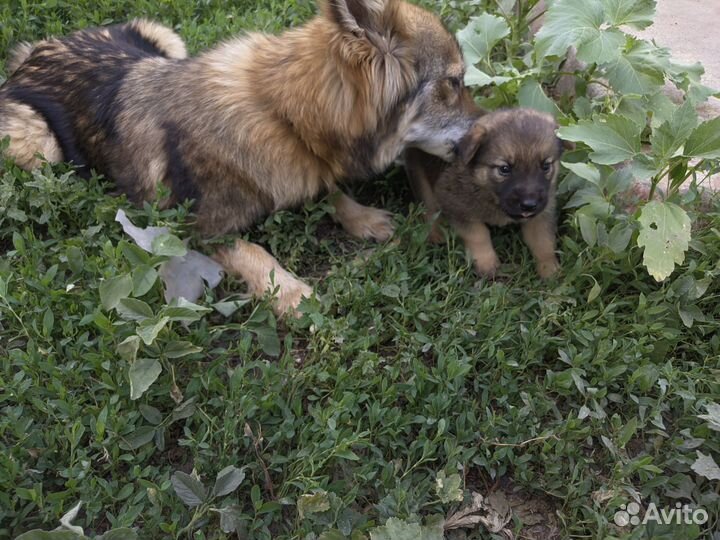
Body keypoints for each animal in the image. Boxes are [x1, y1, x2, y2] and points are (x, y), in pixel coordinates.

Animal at [404, 108, 564, 280]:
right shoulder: (457, 207)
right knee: (429, 207)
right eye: (504, 169)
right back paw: (435, 234)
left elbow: (543, 242)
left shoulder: (542, 213)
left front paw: (550, 270)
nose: (529, 205)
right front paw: (487, 265)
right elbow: (478, 235)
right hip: (419, 175)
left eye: (546, 166)